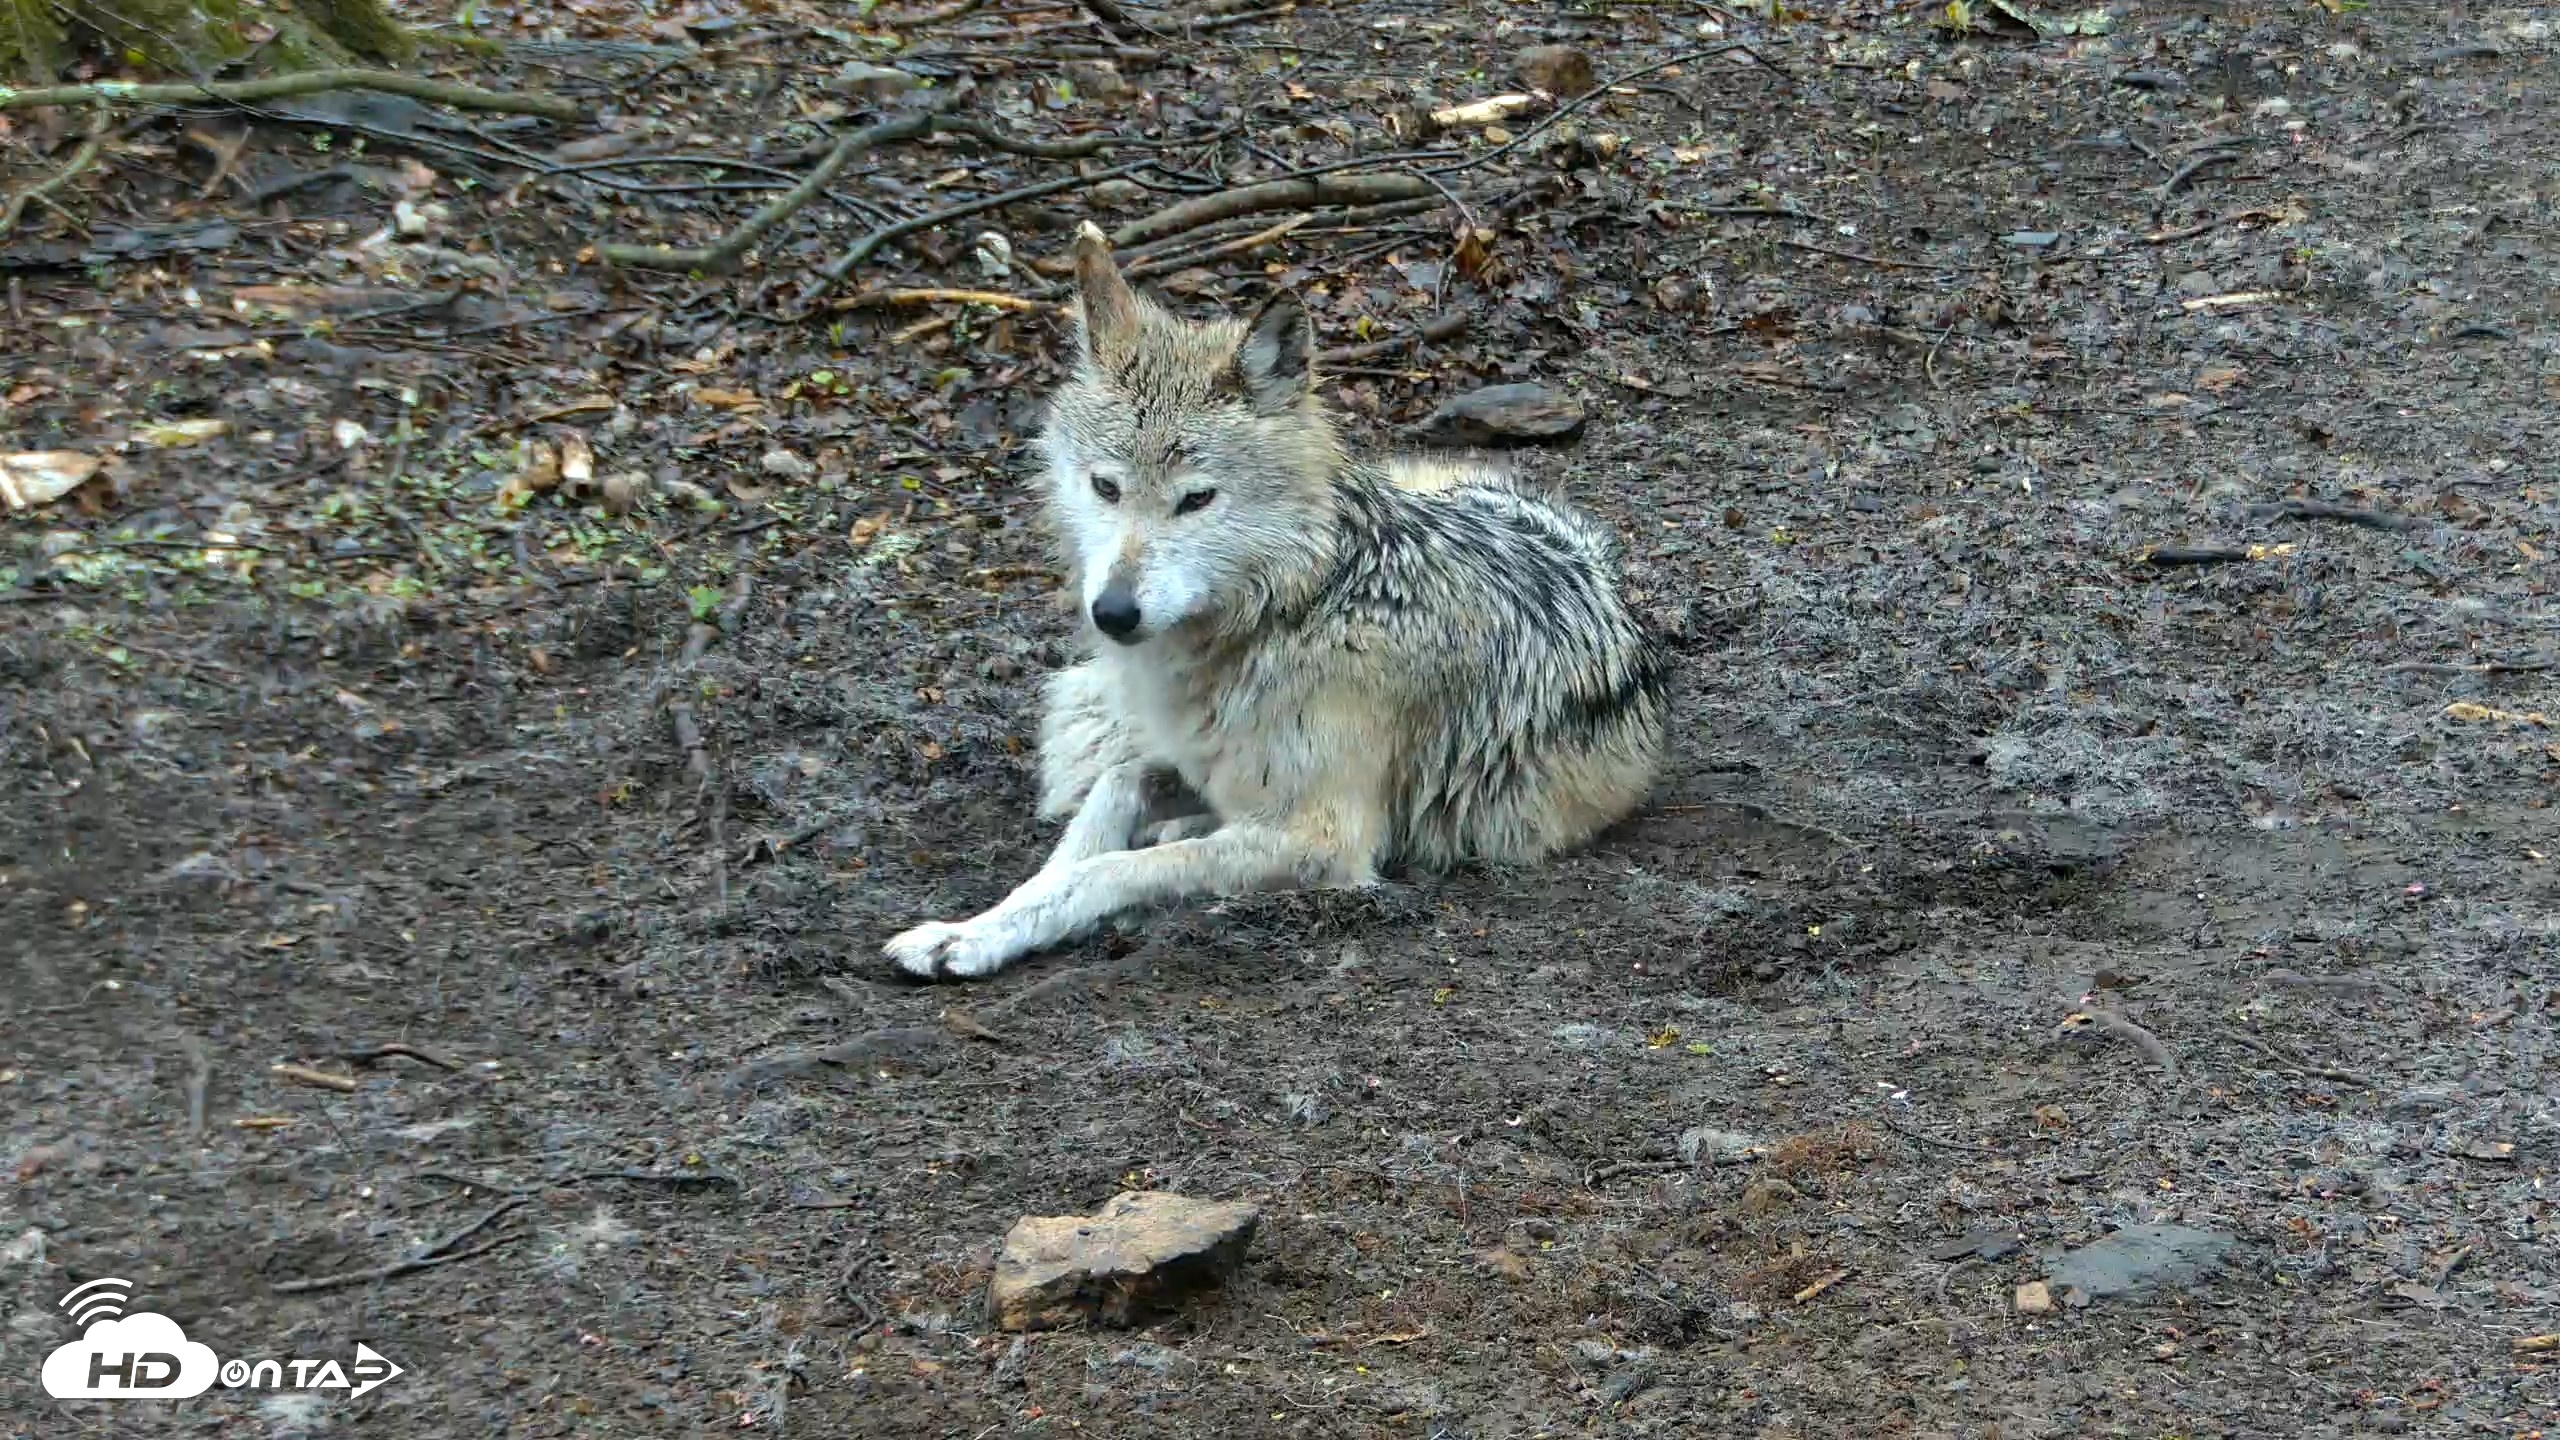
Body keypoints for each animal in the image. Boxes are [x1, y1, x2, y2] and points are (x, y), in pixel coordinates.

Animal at [883, 221, 1670, 979]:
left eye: (1197, 499)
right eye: (1105, 487)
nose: (1113, 613)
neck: (1294, 612)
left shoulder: (1323, 840)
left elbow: (1110, 868)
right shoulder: (1192, 760)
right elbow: (1102, 808)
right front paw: (971, 930)